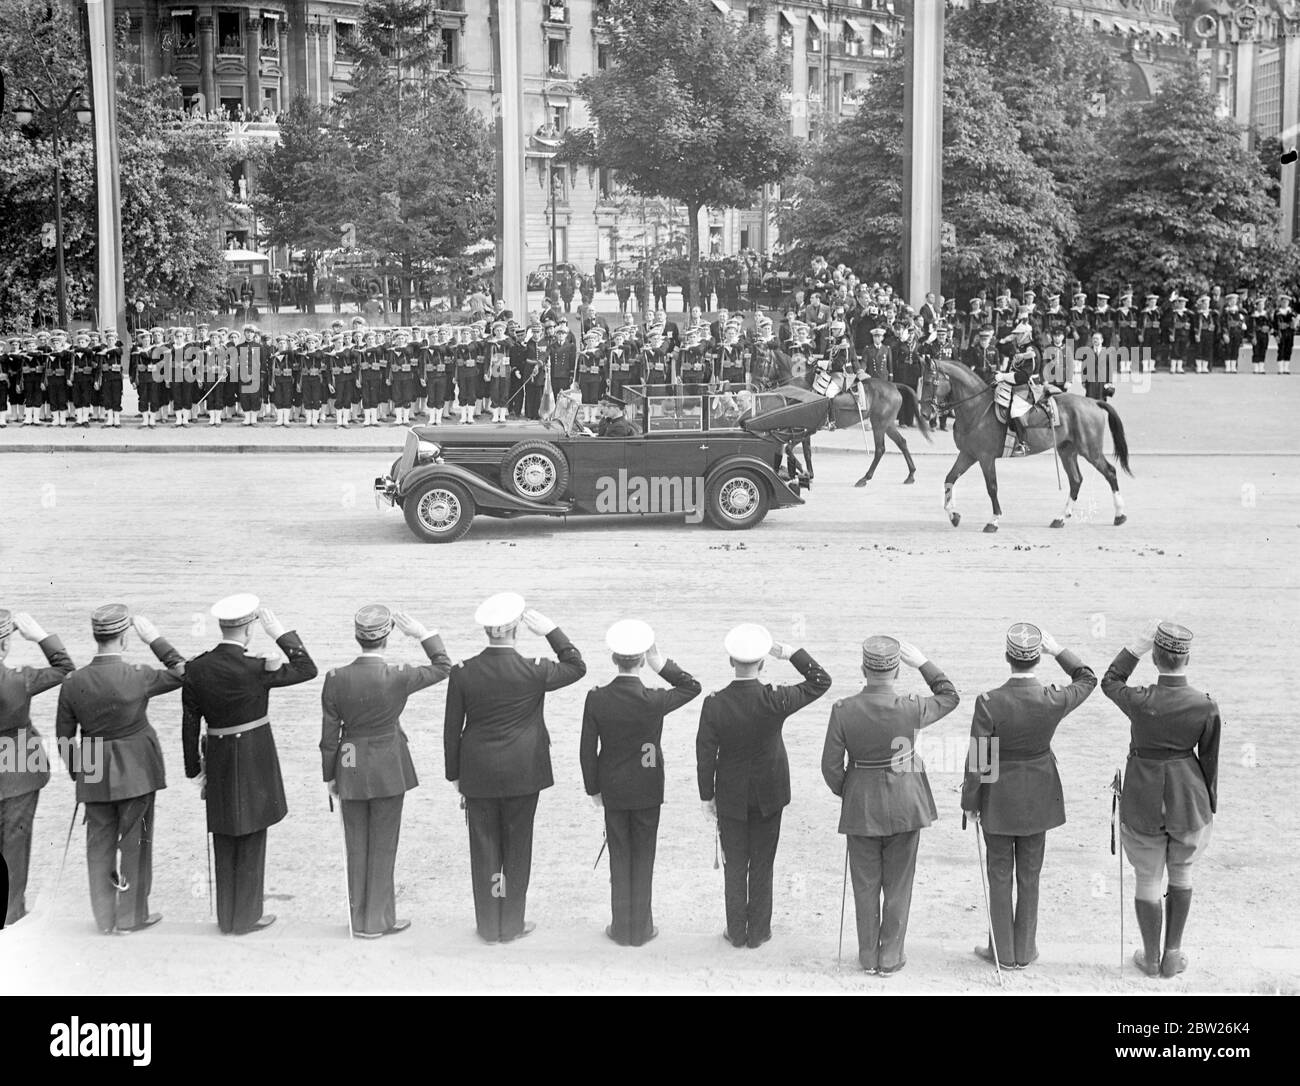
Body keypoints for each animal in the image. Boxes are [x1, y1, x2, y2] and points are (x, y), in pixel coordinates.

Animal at [930, 364, 1133, 533]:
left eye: (931, 381)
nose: (927, 412)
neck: (976, 409)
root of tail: (1092, 401)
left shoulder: (985, 458)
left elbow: (992, 487)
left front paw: (993, 521)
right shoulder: (968, 455)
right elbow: (950, 478)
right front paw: (953, 515)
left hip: (1091, 451)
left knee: (1110, 472)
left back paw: (1120, 515)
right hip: (1067, 451)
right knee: (1076, 480)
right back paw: (1061, 518)